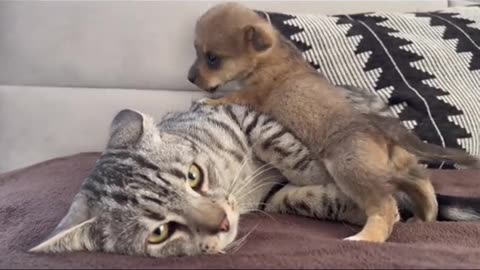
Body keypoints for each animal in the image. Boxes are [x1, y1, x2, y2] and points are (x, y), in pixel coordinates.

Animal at [30, 87, 480, 258]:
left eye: (193, 176)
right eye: (159, 232)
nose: (223, 222)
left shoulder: (248, 114)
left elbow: (293, 155)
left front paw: (334, 177)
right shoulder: (272, 196)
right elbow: (305, 197)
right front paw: (349, 203)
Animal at [188, 2, 480, 243]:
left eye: (212, 58)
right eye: (196, 51)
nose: (190, 79)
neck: (270, 56)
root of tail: (383, 133)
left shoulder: (254, 94)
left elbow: (231, 96)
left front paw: (208, 102)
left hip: (348, 167)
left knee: (386, 208)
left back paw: (364, 238)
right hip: (392, 169)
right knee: (421, 183)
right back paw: (424, 217)